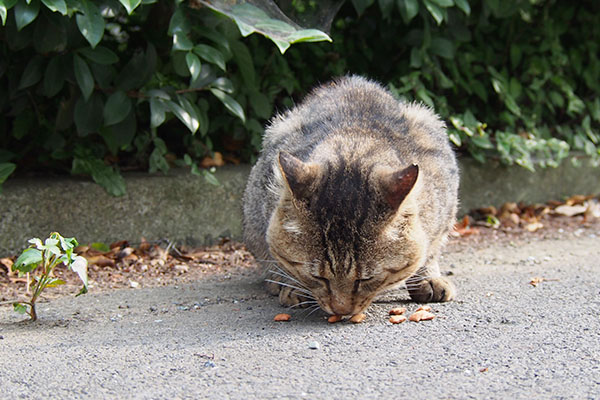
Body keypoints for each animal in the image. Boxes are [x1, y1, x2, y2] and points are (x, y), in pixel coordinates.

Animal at [241, 76, 458, 318]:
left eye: (366, 279)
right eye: (318, 277)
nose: (341, 309)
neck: (355, 141)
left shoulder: (446, 203)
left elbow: (431, 249)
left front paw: (429, 277)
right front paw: (293, 286)